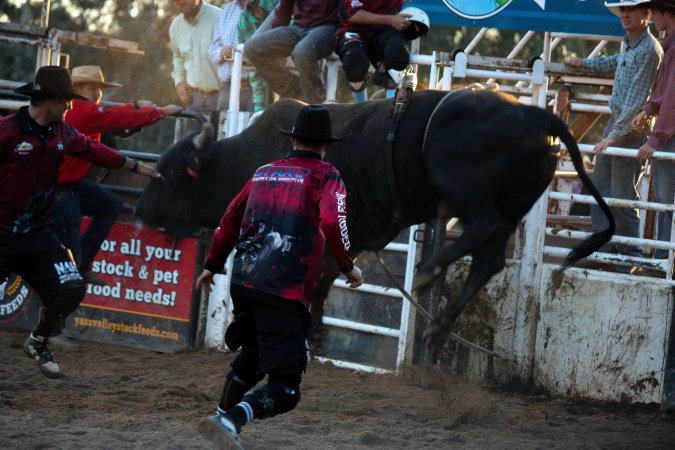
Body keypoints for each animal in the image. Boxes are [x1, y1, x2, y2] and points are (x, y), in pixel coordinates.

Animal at [137, 89, 614, 347]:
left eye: (171, 172)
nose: (140, 211)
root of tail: (534, 112)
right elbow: (325, 279)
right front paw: (315, 334)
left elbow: (312, 281)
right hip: (516, 204)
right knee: (489, 259)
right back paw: (437, 324)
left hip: (461, 185)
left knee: (483, 227)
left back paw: (428, 272)